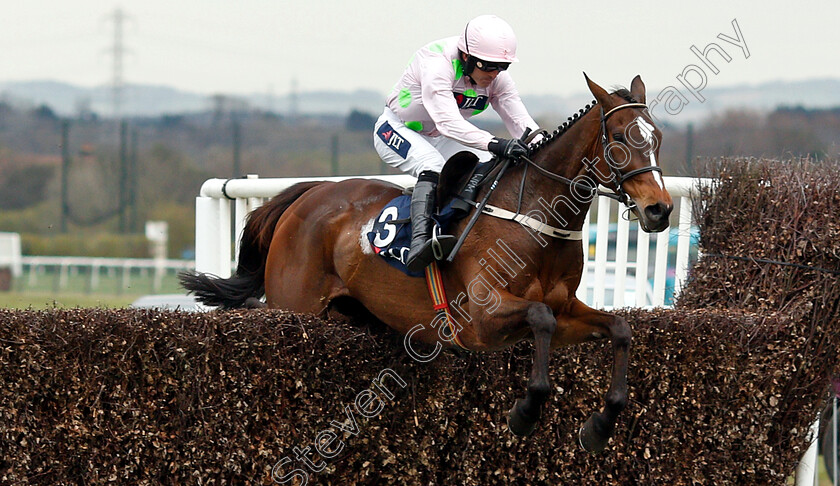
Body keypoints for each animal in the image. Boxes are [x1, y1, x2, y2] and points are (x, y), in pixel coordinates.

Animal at [180, 75, 672, 452]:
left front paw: (600, 426)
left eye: (658, 138)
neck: (534, 214)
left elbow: (618, 329)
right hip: (295, 303)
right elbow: (540, 319)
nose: (659, 210)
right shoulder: (482, 319)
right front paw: (525, 413)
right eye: (621, 139)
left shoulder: (569, 309)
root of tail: (310, 192)